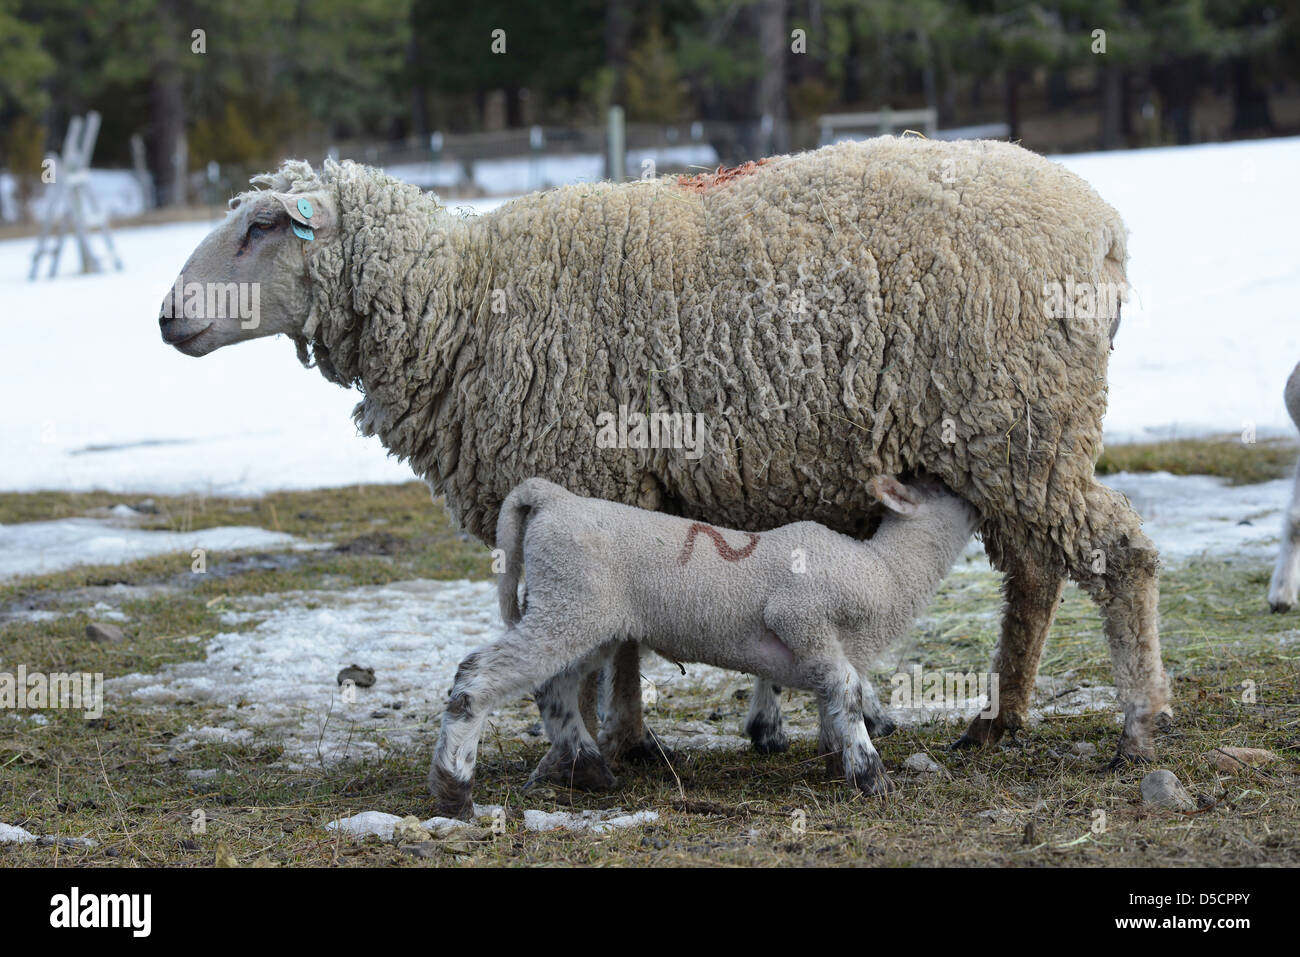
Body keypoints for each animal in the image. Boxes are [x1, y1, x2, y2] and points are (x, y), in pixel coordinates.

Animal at [431, 470, 977, 816]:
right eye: (942, 486)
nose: (978, 498)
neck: (886, 569)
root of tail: (551, 498)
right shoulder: (799, 615)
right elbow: (846, 688)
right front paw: (871, 776)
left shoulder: (818, 645)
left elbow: (831, 695)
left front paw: (832, 753)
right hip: (570, 605)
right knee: (477, 677)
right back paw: (456, 792)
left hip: (584, 617)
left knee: (554, 689)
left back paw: (588, 767)